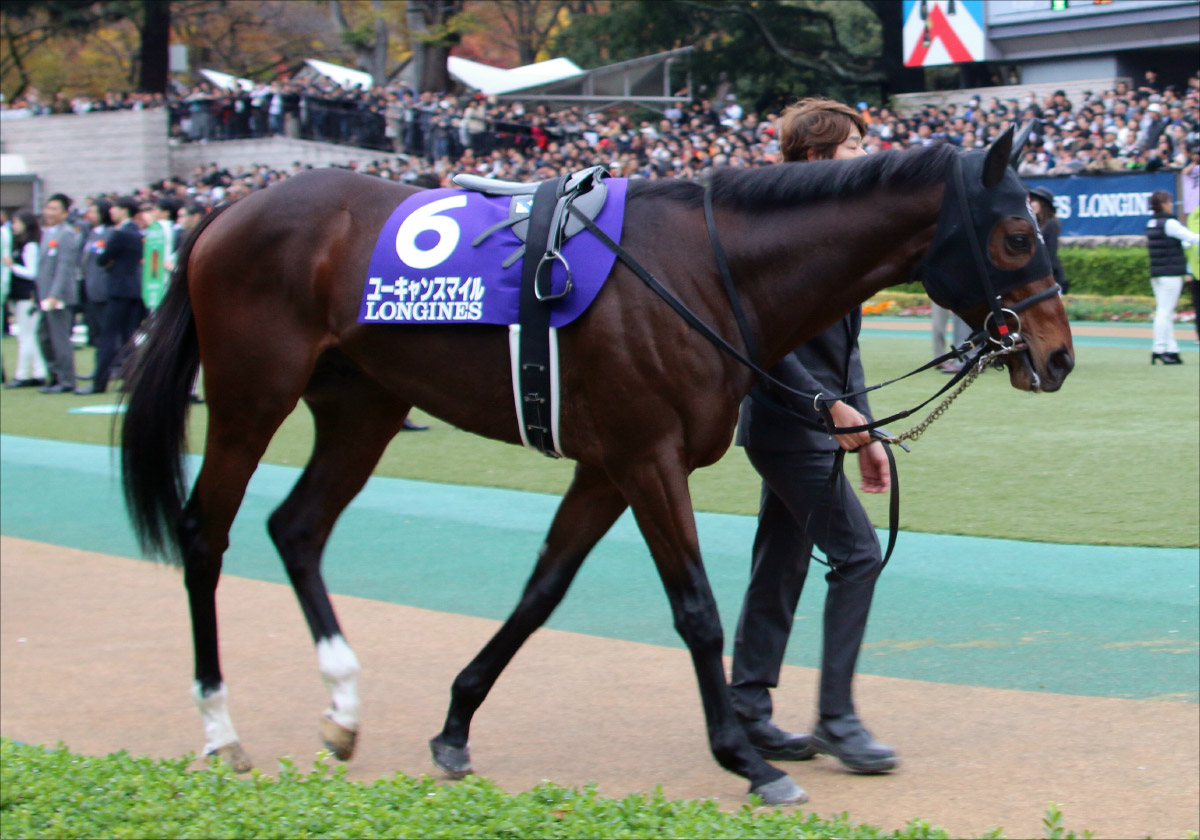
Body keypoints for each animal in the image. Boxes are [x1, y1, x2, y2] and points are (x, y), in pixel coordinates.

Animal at [120, 127, 1073, 805]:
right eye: (1016, 234)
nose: (1057, 356)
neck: (702, 270)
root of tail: (228, 212)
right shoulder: (647, 458)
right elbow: (698, 611)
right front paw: (745, 759)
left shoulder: (606, 466)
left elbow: (542, 592)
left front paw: (456, 722)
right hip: (252, 396)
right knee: (206, 534)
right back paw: (220, 729)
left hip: (363, 407)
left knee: (298, 527)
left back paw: (344, 711)